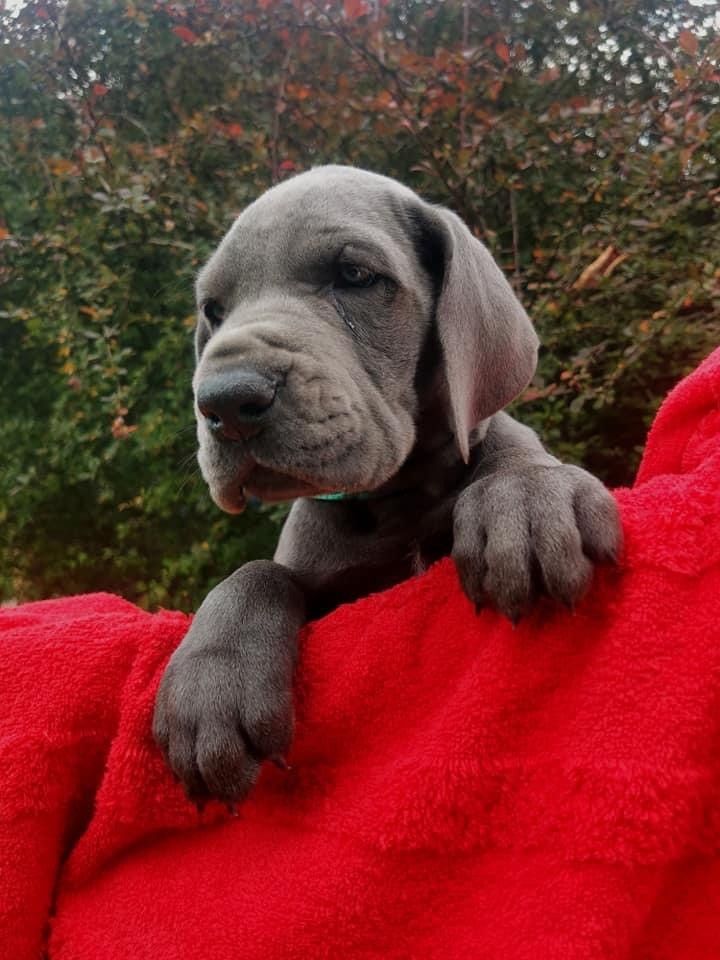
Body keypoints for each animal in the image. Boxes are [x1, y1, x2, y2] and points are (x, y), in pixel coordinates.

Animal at [153, 166, 622, 804]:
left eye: (355, 276)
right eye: (214, 309)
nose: (223, 401)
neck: (393, 498)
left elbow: (516, 460)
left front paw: (526, 498)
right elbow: (255, 573)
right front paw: (213, 682)